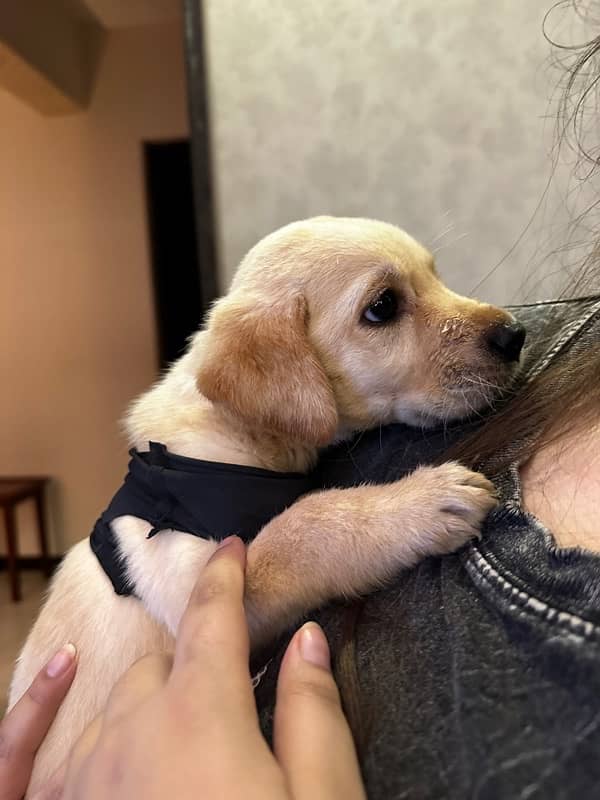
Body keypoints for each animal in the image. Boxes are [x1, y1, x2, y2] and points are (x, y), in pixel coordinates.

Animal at [9, 214, 524, 792]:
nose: (515, 334)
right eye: (383, 307)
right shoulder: (201, 586)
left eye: (435, 276)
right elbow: (304, 522)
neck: (236, 433)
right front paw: (419, 501)